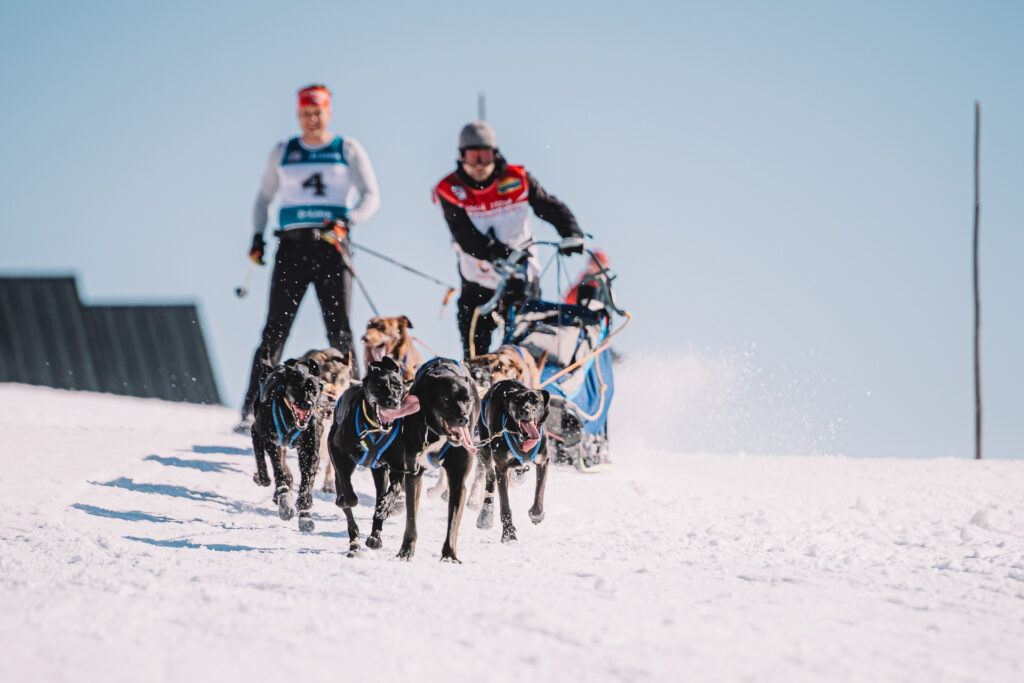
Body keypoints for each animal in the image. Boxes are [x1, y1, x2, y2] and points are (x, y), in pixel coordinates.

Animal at [331, 358, 419, 557]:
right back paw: (354, 543)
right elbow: (350, 496)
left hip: (380, 473)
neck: (374, 429)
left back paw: (375, 536)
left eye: (397, 386)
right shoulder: (336, 451)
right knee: (348, 508)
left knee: (380, 496)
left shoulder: (396, 466)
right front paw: (344, 500)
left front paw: (386, 507)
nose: (393, 401)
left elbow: (393, 490)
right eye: (379, 385)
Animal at [473, 378, 548, 544]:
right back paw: (486, 515)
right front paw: (508, 534)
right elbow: (505, 505)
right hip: (485, 450)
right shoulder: (501, 468)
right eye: (517, 400)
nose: (525, 411)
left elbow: (539, 492)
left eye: (535, 400)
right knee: (490, 478)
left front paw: (536, 515)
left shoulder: (543, 461)